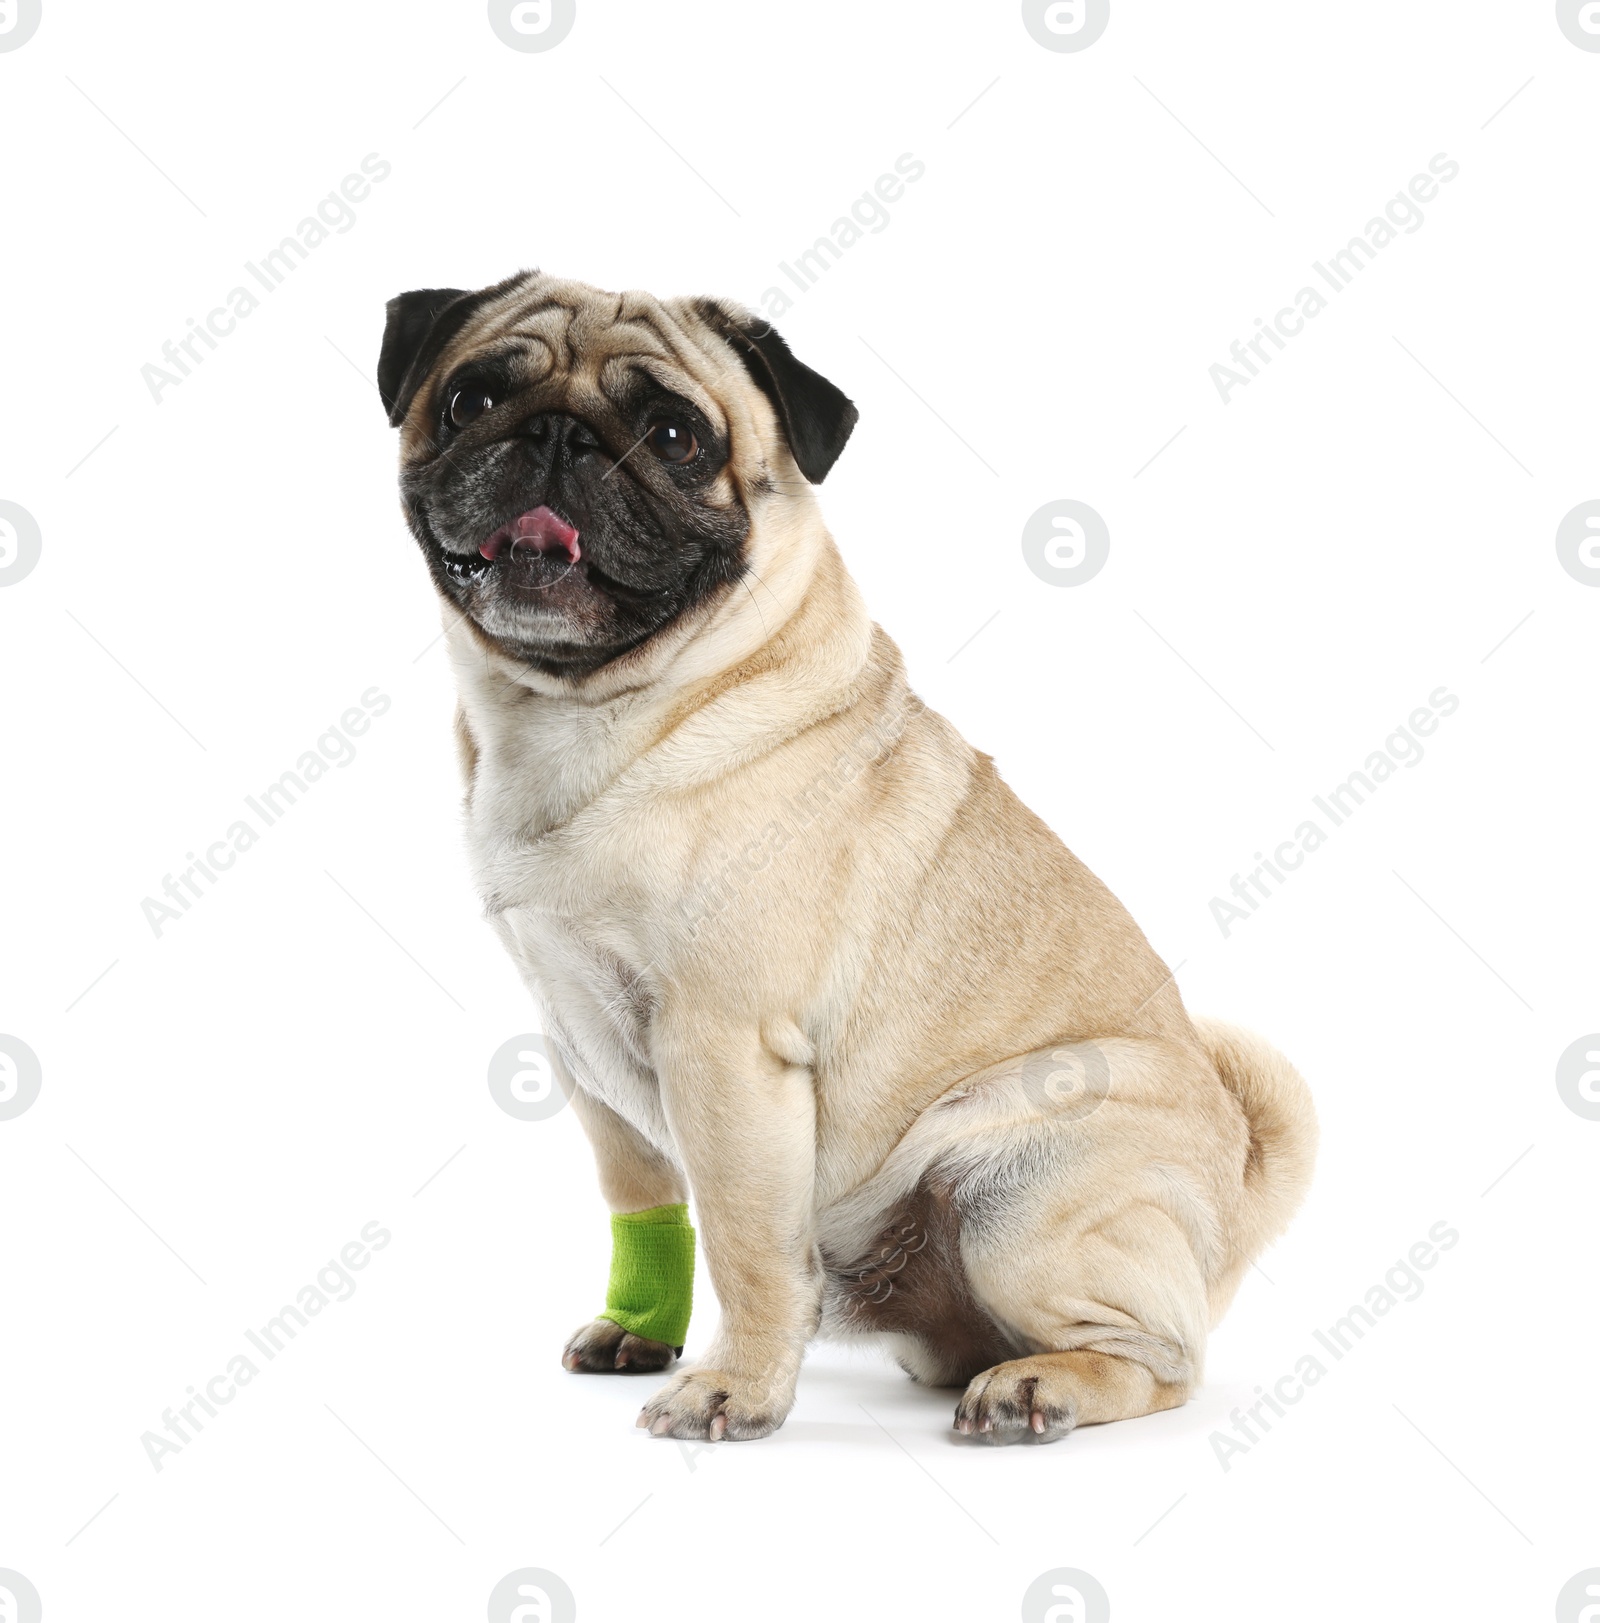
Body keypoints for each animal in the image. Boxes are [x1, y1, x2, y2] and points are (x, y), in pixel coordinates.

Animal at [379, 269, 1317, 1447]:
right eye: (471, 400)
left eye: (675, 437)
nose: (556, 435)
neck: (586, 712)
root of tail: (1234, 1185)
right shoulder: (582, 1047)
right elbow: (646, 1200)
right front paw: (641, 1329)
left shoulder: (722, 1048)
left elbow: (746, 1245)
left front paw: (734, 1389)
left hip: (1018, 1197)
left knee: (1163, 1358)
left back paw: (1038, 1389)